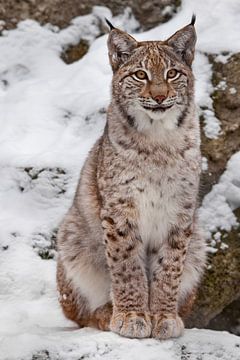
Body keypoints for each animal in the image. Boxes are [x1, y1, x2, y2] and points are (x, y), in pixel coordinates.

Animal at [56, 14, 206, 340]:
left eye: (172, 73)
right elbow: (127, 267)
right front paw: (131, 316)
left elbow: (170, 268)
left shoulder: (180, 211)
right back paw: (105, 313)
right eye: (140, 75)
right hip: (72, 234)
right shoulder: (120, 209)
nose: (160, 96)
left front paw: (163, 317)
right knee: (76, 314)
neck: (158, 138)